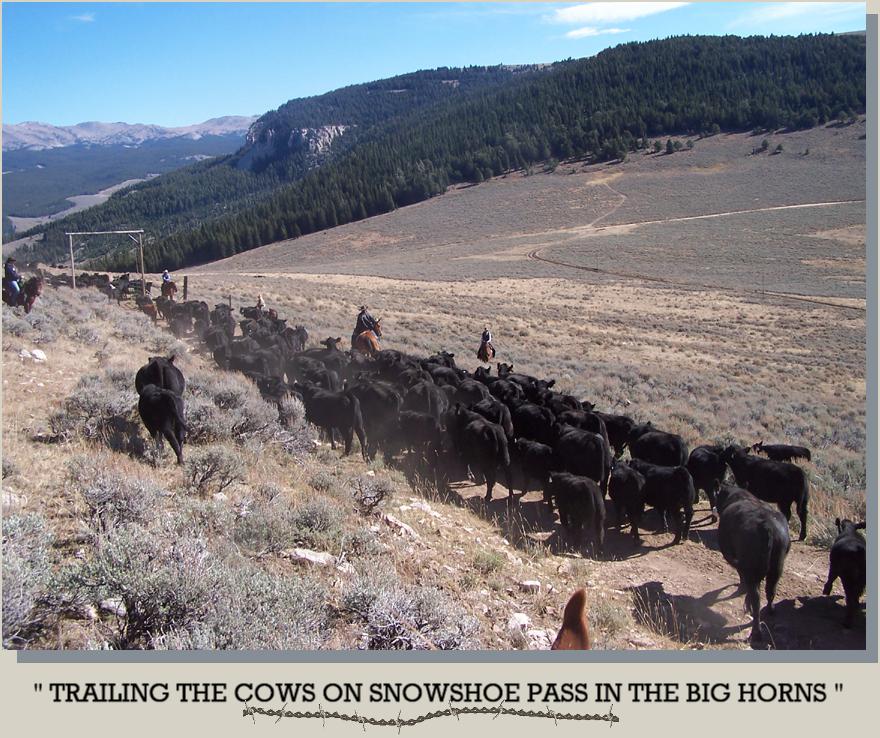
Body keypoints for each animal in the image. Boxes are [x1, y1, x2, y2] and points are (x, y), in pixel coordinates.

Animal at [716, 484, 792, 640]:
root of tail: (767, 526)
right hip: (777, 568)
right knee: (770, 591)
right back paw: (770, 610)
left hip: (752, 568)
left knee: (756, 598)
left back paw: (755, 630)